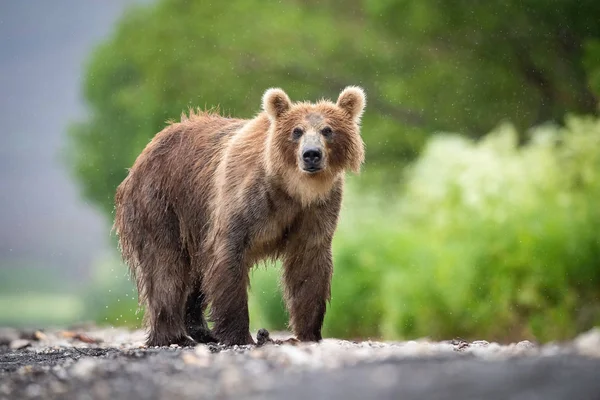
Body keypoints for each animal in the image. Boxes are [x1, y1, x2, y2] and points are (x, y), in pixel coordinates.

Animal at [113, 86, 366, 346]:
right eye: (297, 131)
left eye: (328, 130)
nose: (311, 154)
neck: (293, 188)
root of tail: (143, 154)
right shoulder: (245, 201)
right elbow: (228, 258)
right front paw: (239, 335)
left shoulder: (316, 210)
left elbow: (308, 267)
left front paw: (307, 334)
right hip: (162, 203)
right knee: (165, 266)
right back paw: (173, 336)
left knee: (195, 274)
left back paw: (201, 331)